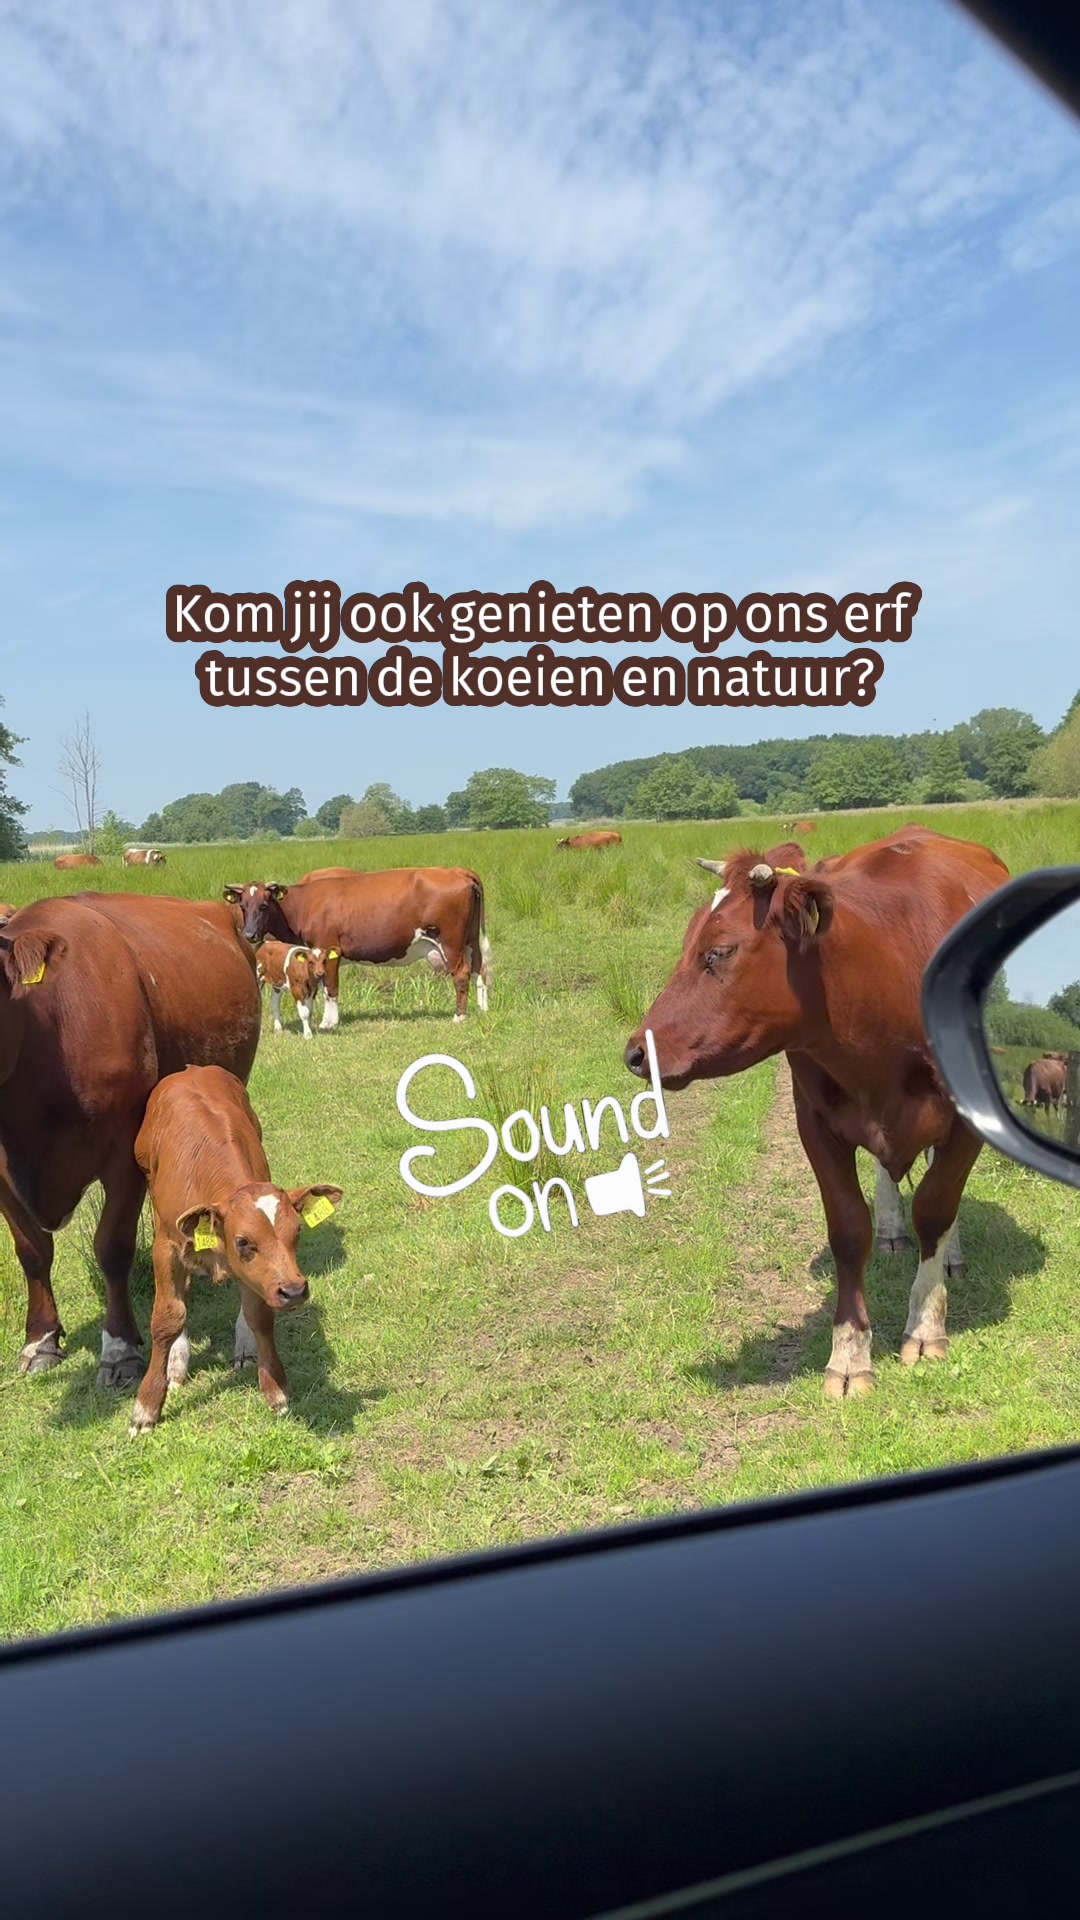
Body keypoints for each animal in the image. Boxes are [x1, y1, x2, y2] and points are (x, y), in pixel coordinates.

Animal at [130, 1064, 343, 1432]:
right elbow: (168, 1317)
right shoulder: (166, 1247)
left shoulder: (263, 1279)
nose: (294, 1291)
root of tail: (191, 1070)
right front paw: (147, 1406)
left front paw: (274, 1389)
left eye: (298, 1231)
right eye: (243, 1241)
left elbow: (260, 1316)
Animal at [224, 869, 491, 1026]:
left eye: (264, 905)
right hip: (470, 941)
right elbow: (322, 987)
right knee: (479, 970)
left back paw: (459, 1016)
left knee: (461, 974)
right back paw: (482, 1009)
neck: (303, 905)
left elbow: (330, 987)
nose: (250, 934)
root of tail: (455, 870)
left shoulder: (329, 948)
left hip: (451, 943)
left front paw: (328, 1023)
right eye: (243, 906)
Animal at [626, 827, 1010, 1399]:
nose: (636, 1053)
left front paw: (926, 1325)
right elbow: (849, 1230)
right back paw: (893, 1229)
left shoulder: (967, 1122)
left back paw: (949, 1256)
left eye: (720, 951)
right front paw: (849, 1355)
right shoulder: (816, 1123)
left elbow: (936, 1207)